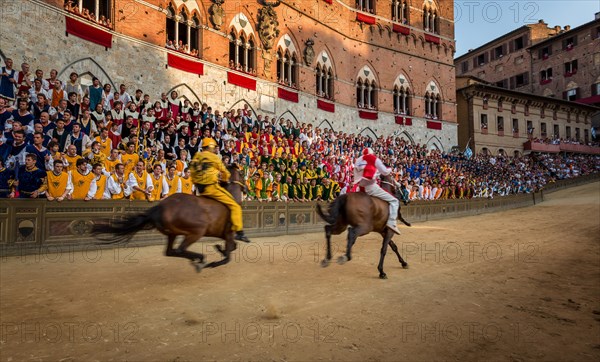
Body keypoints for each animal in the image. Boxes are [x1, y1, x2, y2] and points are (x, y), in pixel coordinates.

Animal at [89, 164, 248, 272]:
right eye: (241, 173)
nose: (246, 188)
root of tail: (160, 208)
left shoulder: (226, 235)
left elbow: (232, 247)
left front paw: (219, 248)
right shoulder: (228, 234)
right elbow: (228, 256)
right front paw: (216, 258)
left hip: (172, 233)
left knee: (170, 252)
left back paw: (197, 258)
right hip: (196, 231)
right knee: (180, 249)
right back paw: (200, 259)